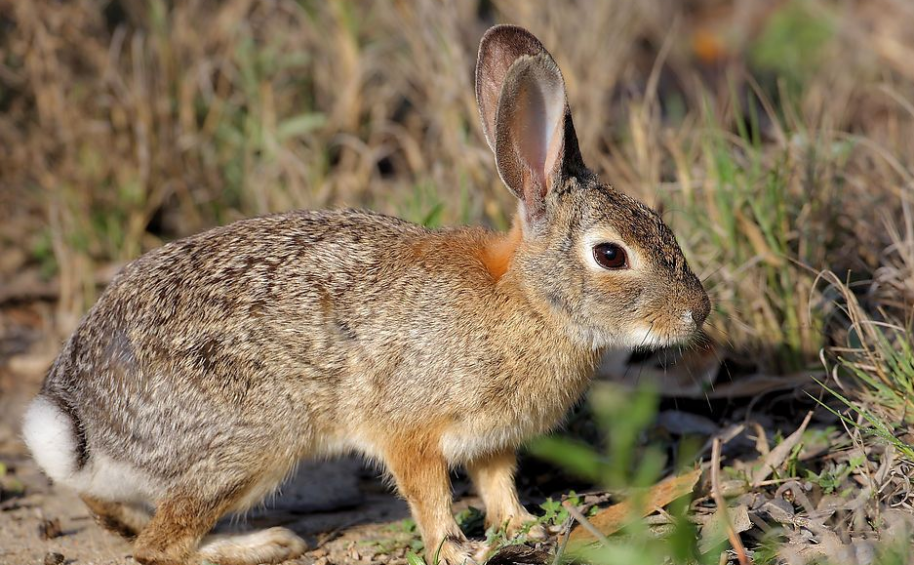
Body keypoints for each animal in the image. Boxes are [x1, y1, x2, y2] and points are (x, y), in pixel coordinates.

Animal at [19, 25, 704, 564]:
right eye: (610, 255)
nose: (697, 313)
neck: (529, 300)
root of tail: (82, 420)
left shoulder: (491, 441)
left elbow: (497, 484)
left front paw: (522, 528)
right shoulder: (410, 428)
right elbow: (428, 493)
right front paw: (458, 550)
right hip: (255, 439)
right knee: (158, 546)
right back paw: (263, 544)